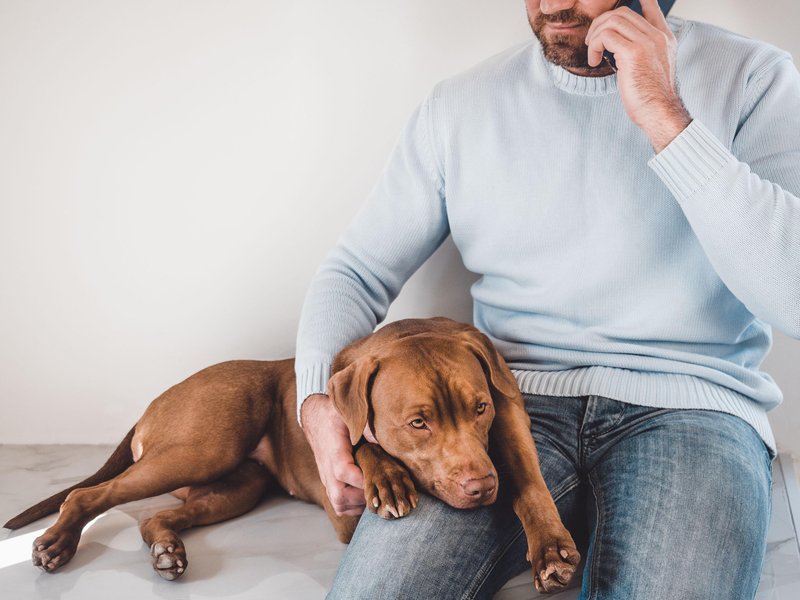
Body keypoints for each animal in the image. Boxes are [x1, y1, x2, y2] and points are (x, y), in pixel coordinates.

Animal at [6, 316, 580, 592]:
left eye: (479, 408)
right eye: (418, 423)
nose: (482, 487)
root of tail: (155, 402)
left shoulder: (509, 414)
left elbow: (529, 482)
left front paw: (550, 548)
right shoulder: (344, 499)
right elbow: (358, 440)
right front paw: (386, 477)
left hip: (238, 486)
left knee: (155, 517)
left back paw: (167, 548)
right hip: (203, 446)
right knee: (88, 494)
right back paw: (56, 543)